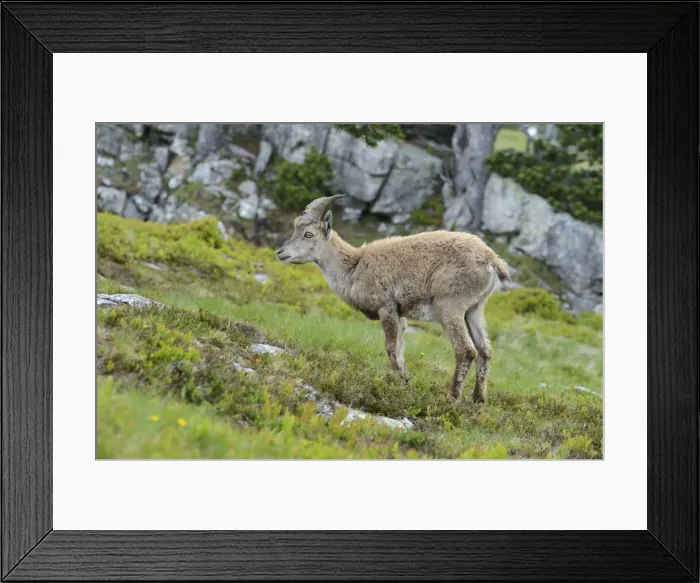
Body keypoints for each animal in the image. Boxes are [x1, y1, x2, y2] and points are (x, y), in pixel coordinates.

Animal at [276, 195, 510, 402]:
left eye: (308, 234)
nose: (280, 252)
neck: (355, 265)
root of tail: (491, 259)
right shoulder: (401, 313)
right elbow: (399, 348)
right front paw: (404, 378)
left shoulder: (386, 307)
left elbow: (390, 347)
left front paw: (400, 381)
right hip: (475, 309)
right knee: (485, 350)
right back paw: (478, 398)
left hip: (450, 306)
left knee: (466, 350)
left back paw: (452, 397)